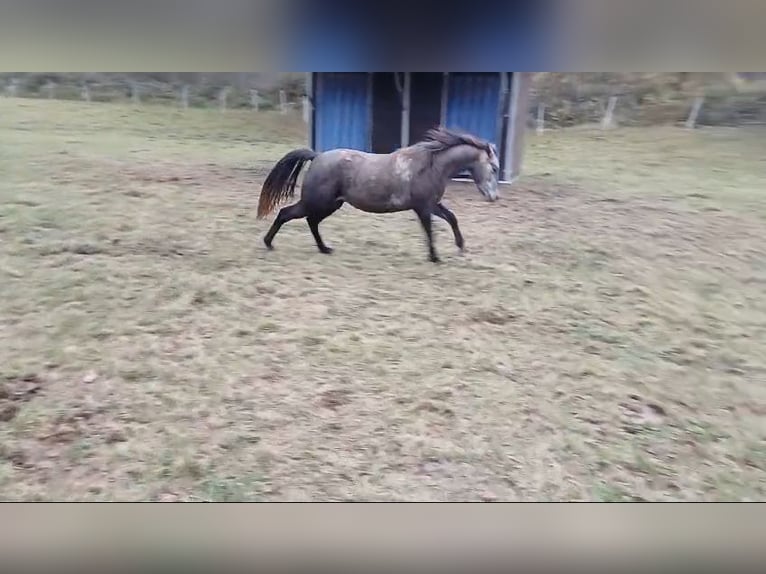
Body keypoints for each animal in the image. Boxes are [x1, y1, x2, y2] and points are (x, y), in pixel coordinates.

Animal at [255, 127, 500, 264]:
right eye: (495, 168)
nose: (494, 197)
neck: (431, 166)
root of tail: (317, 157)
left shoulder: (432, 204)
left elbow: (451, 218)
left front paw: (460, 247)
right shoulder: (423, 207)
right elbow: (430, 231)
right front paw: (435, 257)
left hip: (330, 205)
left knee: (309, 221)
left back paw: (324, 249)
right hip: (318, 202)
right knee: (288, 214)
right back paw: (269, 244)